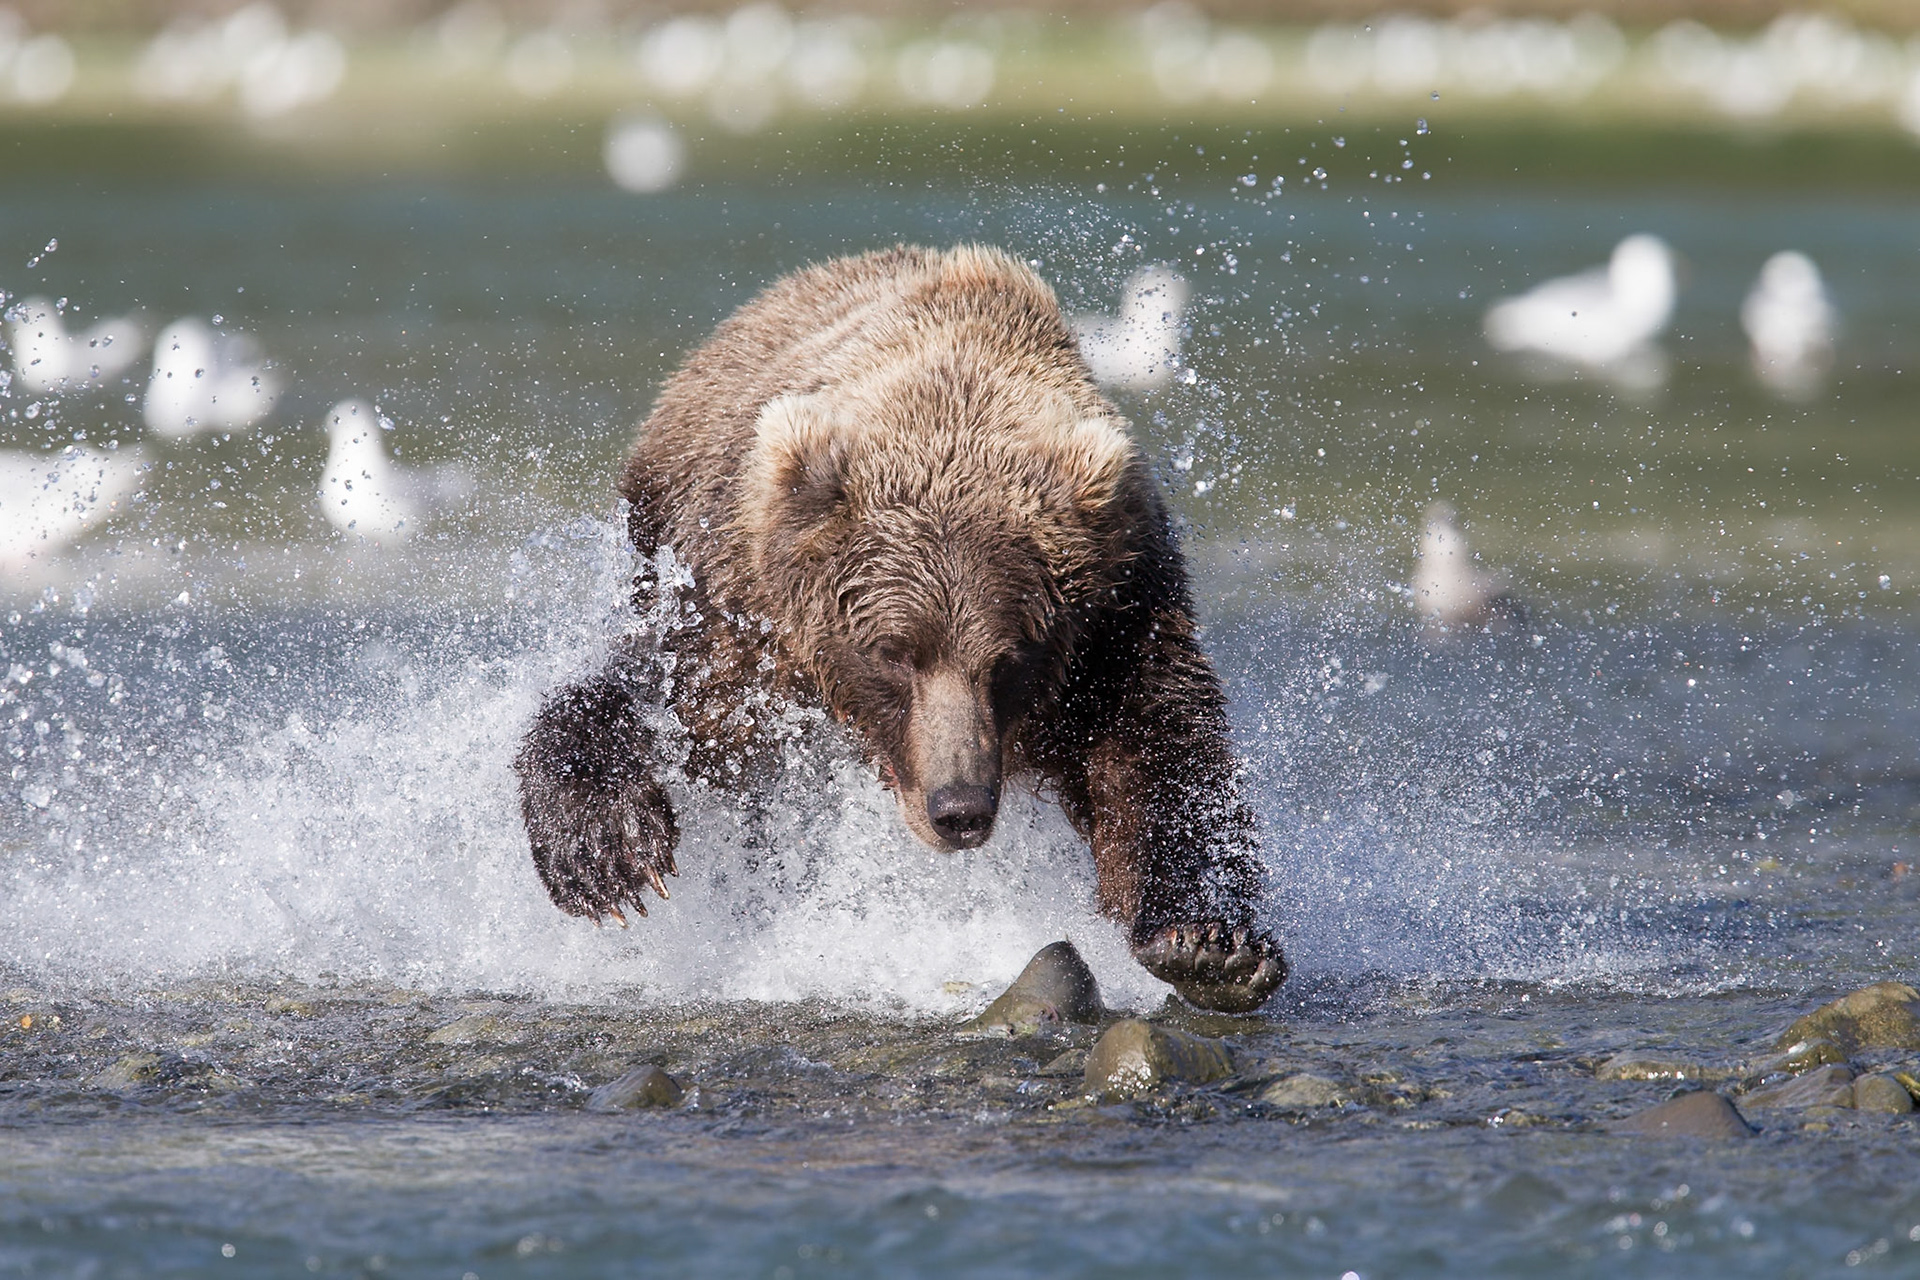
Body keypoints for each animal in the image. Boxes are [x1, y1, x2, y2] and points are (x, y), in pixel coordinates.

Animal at [515, 244, 1286, 1013]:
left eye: (1010, 660)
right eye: (893, 653)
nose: (960, 807)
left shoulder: (1118, 621)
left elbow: (1161, 757)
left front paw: (1211, 942)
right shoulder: (741, 623)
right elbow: (662, 699)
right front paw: (606, 848)